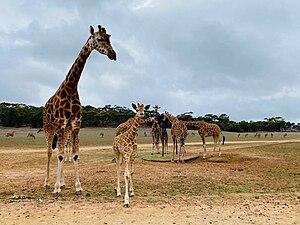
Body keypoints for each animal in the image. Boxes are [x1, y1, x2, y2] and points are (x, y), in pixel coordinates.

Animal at [43, 24, 116, 196]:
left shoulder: (75, 124)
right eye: (99, 38)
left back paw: (62, 182)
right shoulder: (62, 123)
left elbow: (74, 155)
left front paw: (78, 187)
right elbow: (60, 155)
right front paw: (56, 189)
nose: (113, 54)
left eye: (109, 37)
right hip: (49, 126)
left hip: (63, 129)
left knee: (60, 151)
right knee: (49, 152)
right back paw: (47, 183)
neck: (71, 88)